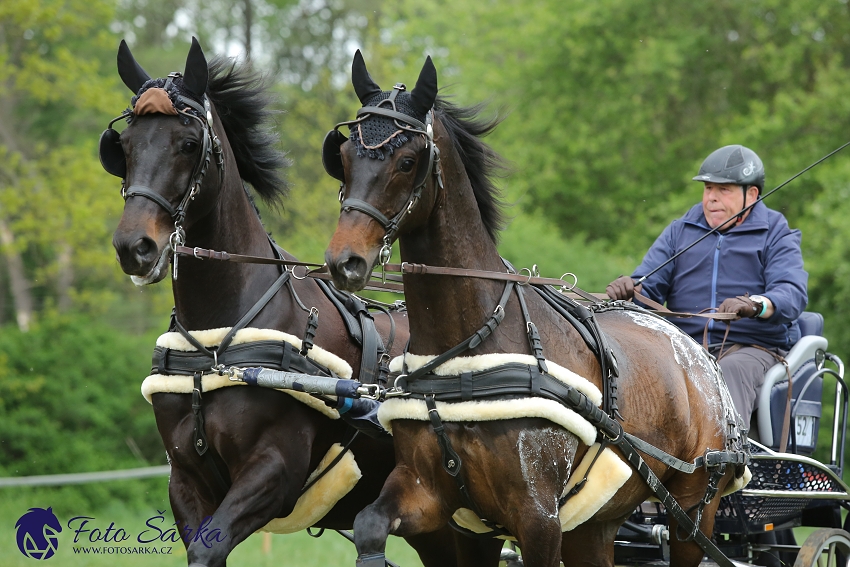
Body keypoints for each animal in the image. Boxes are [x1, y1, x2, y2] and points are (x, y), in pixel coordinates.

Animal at [104, 38, 496, 567]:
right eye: (123, 147)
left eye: (188, 144)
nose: (135, 247)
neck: (217, 346)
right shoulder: (185, 480)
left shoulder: (274, 471)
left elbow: (212, 547)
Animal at [322, 50, 744, 567]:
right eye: (343, 157)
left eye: (406, 161)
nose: (345, 261)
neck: (470, 345)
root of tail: (698, 355)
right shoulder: (437, 500)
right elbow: (369, 524)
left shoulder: (538, 518)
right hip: (593, 524)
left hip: (692, 511)